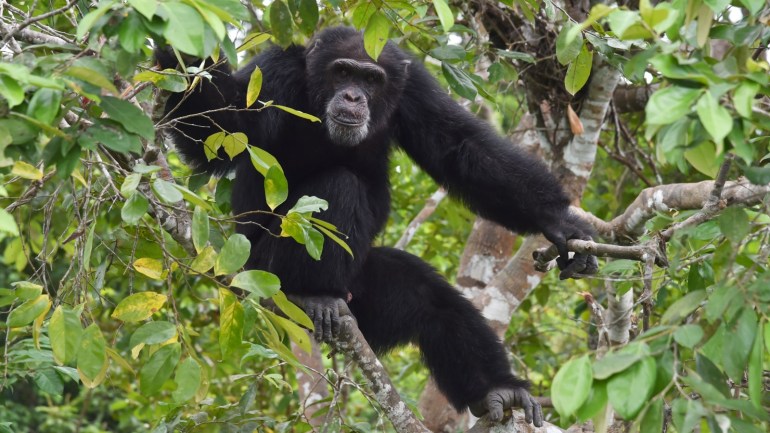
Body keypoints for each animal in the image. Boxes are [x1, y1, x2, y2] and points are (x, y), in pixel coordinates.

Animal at [159, 25, 596, 424]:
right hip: (261, 272)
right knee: (339, 185)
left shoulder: (416, 90)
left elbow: (461, 149)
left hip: (370, 294)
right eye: (342, 72)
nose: (353, 95)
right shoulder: (273, 72)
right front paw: (180, 43)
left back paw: (497, 390)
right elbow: (223, 127)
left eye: (371, 79)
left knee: (433, 300)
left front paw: (559, 222)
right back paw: (315, 295)